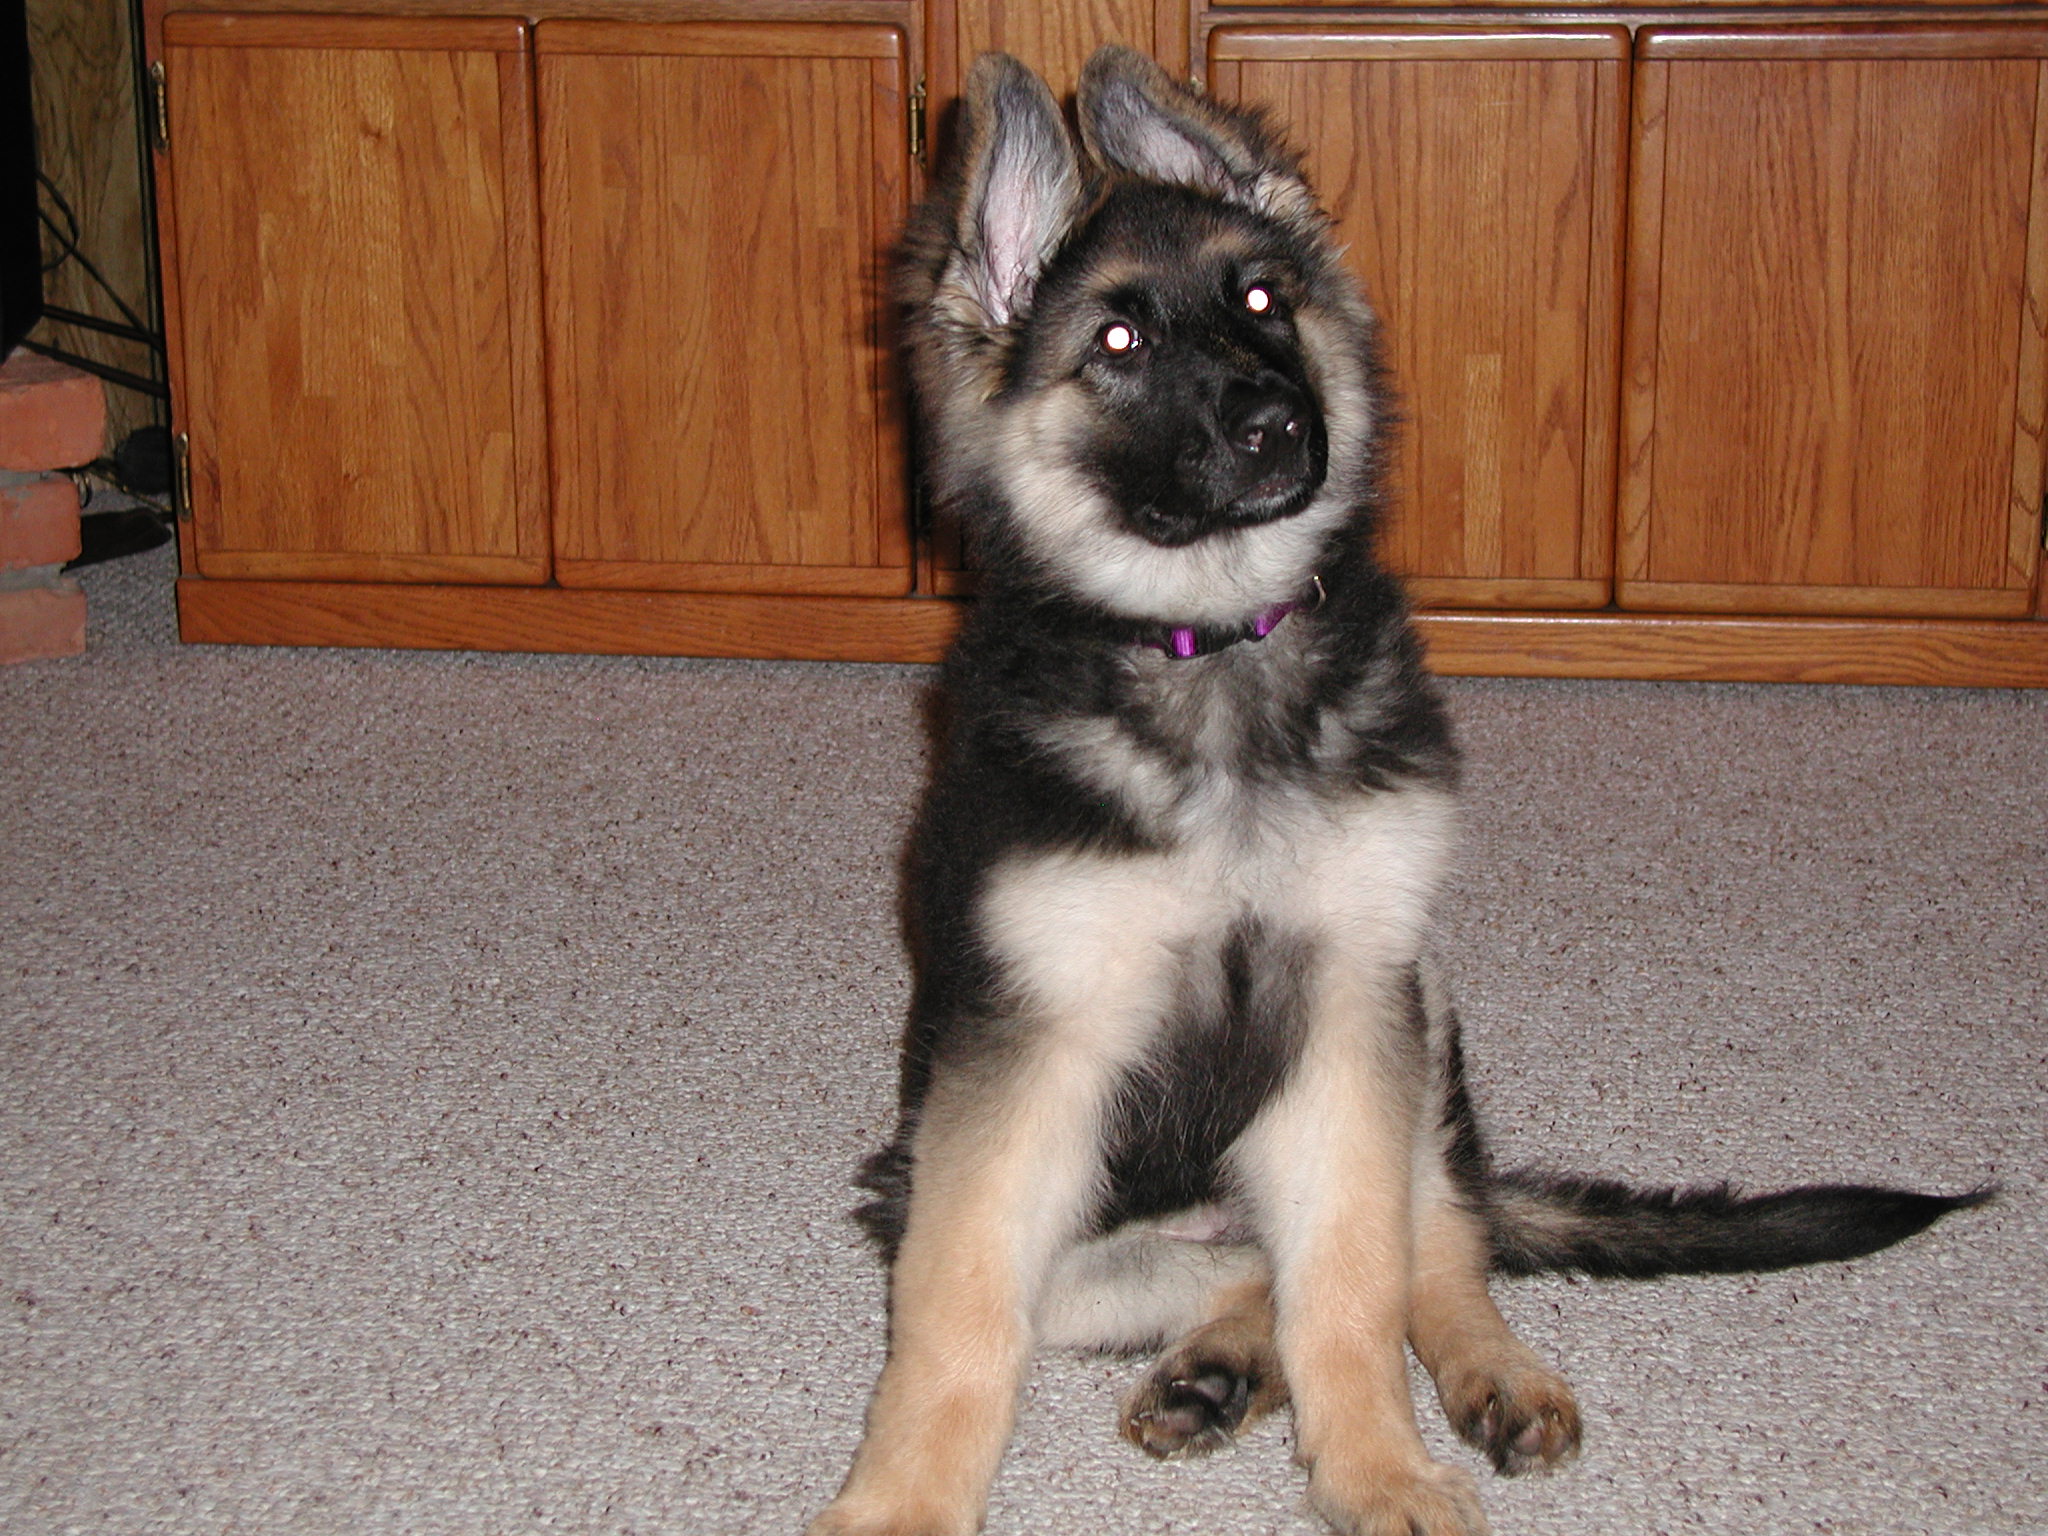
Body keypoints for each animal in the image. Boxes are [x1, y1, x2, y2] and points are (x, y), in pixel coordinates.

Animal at [806, 47, 1987, 1536]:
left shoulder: (1354, 1001)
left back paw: (1478, 1377)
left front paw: (1377, 1469)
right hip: (951, 1189)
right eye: (1116, 346)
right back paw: (1213, 1370)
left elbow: (1360, 1287)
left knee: (1434, 1242)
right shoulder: (1025, 1058)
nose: (1278, 426)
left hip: (1421, 1032)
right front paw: (902, 1503)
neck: (1217, 646)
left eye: (1263, 300)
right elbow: (959, 1323)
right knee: (1224, 1271)